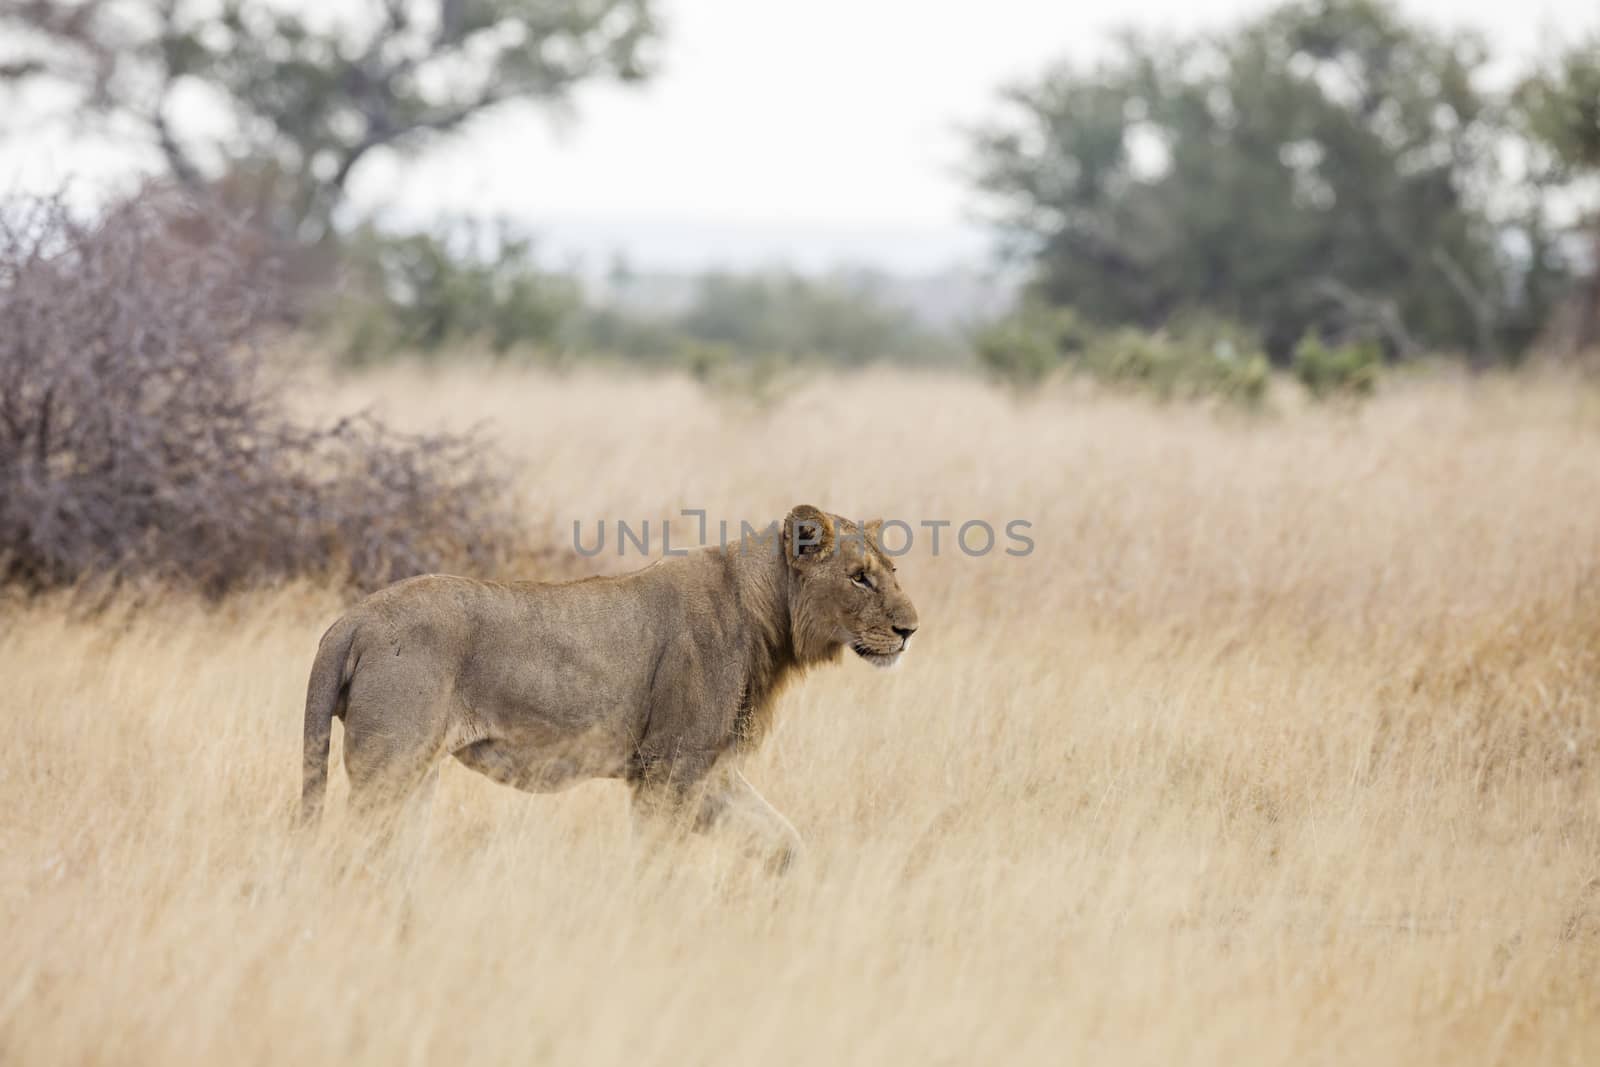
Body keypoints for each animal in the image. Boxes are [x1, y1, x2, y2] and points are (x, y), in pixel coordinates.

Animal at [300, 505, 921, 870]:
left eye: (892, 572)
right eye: (859, 578)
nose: (910, 630)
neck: (767, 614)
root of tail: (351, 620)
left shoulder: (707, 771)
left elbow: (784, 840)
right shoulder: (669, 767)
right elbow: (655, 864)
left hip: (417, 776)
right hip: (388, 767)